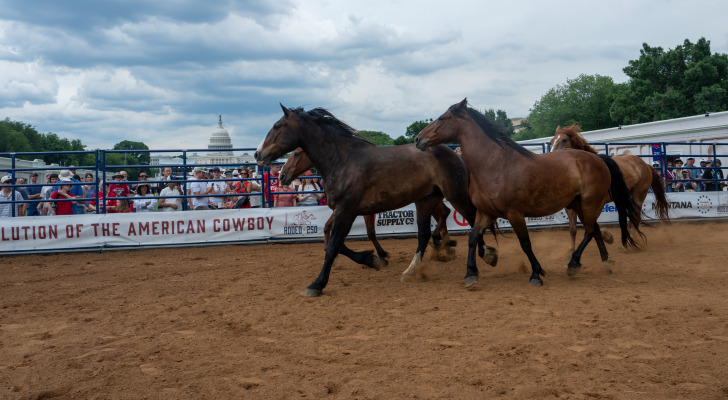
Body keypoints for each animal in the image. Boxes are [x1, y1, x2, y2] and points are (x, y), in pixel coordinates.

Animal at [279, 147, 460, 270]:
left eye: (296, 153)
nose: (282, 175)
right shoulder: (343, 209)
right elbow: (327, 227)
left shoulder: (361, 212)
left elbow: (370, 233)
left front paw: (381, 256)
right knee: (444, 214)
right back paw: (445, 245)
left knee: (445, 213)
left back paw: (442, 243)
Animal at [415, 99, 643, 287]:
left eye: (442, 118)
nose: (418, 139)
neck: (494, 166)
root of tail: (598, 159)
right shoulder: (485, 213)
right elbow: (472, 237)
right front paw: (471, 274)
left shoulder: (515, 214)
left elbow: (525, 244)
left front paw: (536, 274)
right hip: (578, 204)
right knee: (593, 229)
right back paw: (604, 263)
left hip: (589, 202)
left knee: (588, 230)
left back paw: (573, 264)